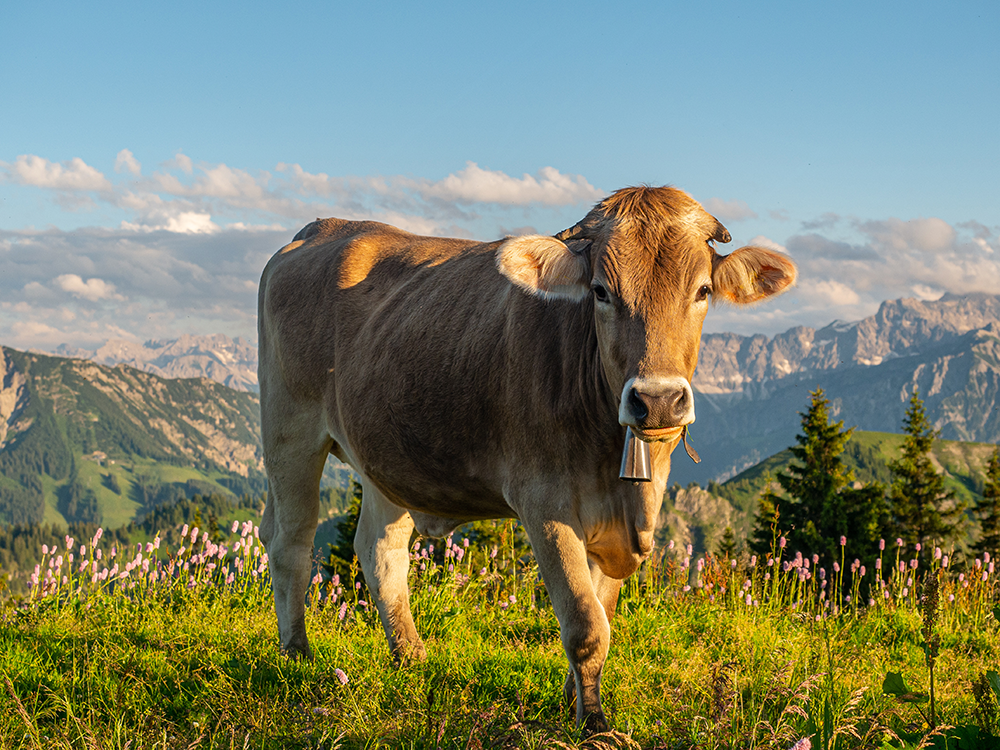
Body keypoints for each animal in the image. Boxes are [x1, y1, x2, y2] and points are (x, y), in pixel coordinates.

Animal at [258, 187, 796, 736]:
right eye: (601, 291)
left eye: (704, 290)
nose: (658, 400)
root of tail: (323, 228)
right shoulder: (545, 504)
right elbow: (585, 622)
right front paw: (594, 725)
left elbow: (602, 613)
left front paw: (573, 700)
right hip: (289, 429)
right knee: (291, 544)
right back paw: (297, 654)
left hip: (386, 457)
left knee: (379, 549)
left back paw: (410, 656)